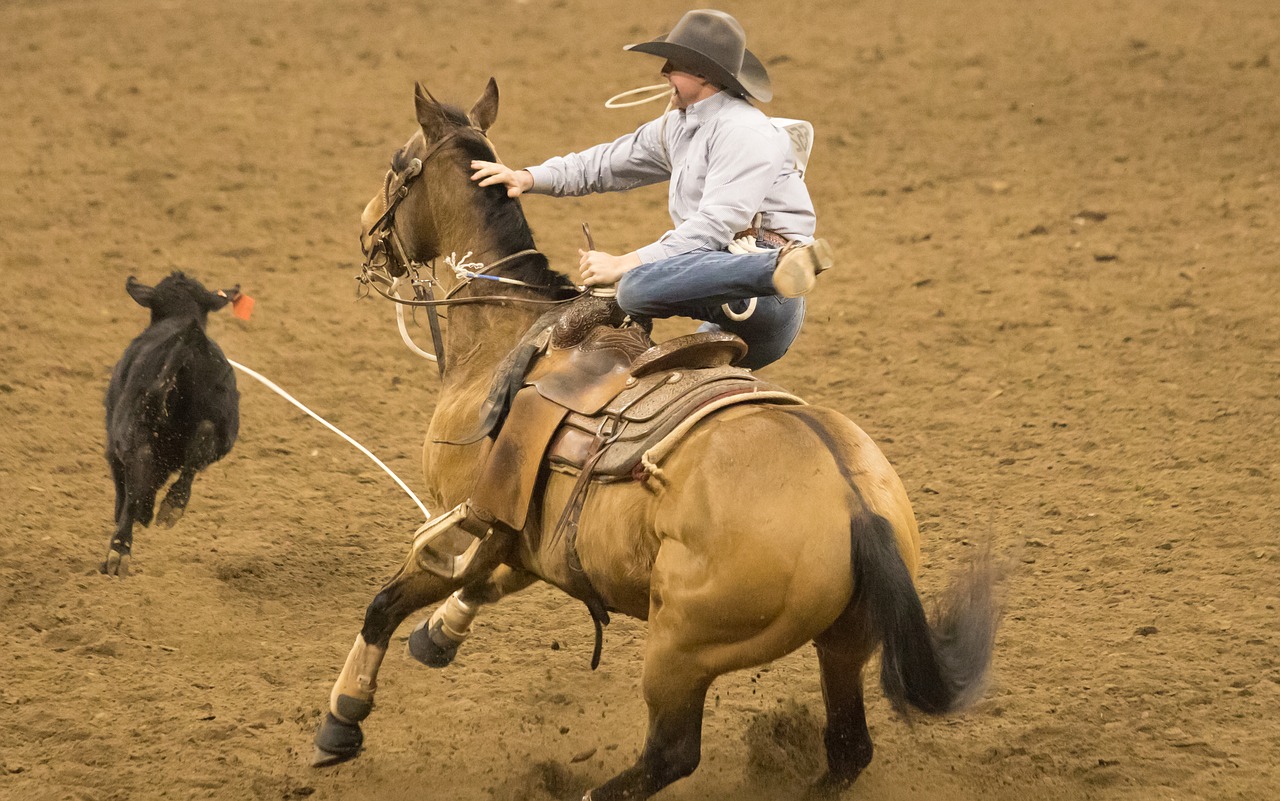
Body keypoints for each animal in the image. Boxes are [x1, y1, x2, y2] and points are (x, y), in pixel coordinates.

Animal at [102, 271, 240, 570]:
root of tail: (188, 342)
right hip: (223, 426)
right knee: (201, 444)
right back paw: (172, 506)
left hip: (132, 433)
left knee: (137, 479)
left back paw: (120, 549)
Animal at [312, 81, 998, 798]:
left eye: (398, 163)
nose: (365, 228)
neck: (510, 332)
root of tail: (858, 507)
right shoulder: (522, 535)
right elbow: (488, 583)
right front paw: (439, 634)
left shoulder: (468, 517)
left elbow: (385, 604)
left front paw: (343, 718)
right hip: (844, 641)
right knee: (846, 749)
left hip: (682, 650)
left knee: (671, 753)